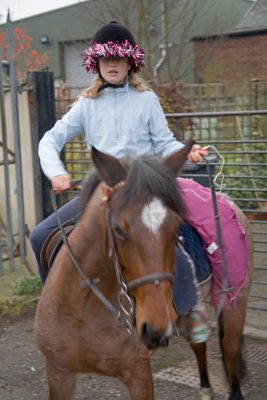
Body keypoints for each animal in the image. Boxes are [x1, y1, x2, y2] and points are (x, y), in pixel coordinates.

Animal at [34, 142, 194, 398]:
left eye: (177, 226)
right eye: (118, 229)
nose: (157, 327)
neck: (83, 305)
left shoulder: (139, 373)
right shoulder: (58, 372)